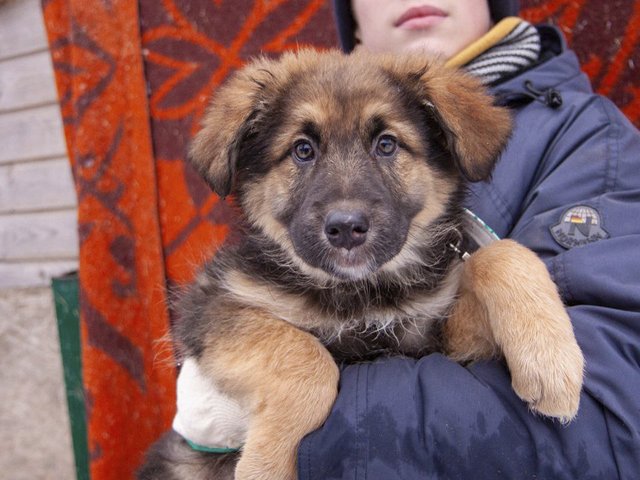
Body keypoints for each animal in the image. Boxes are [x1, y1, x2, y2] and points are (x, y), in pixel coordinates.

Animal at [140, 48, 584, 480]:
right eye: (303, 150)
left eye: (386, 144)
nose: (346, 228)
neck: (363, 295)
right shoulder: (212, 308)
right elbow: (306, 356)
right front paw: (266, 464)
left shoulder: (438, 345)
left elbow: (502, 253)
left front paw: (550, 360)